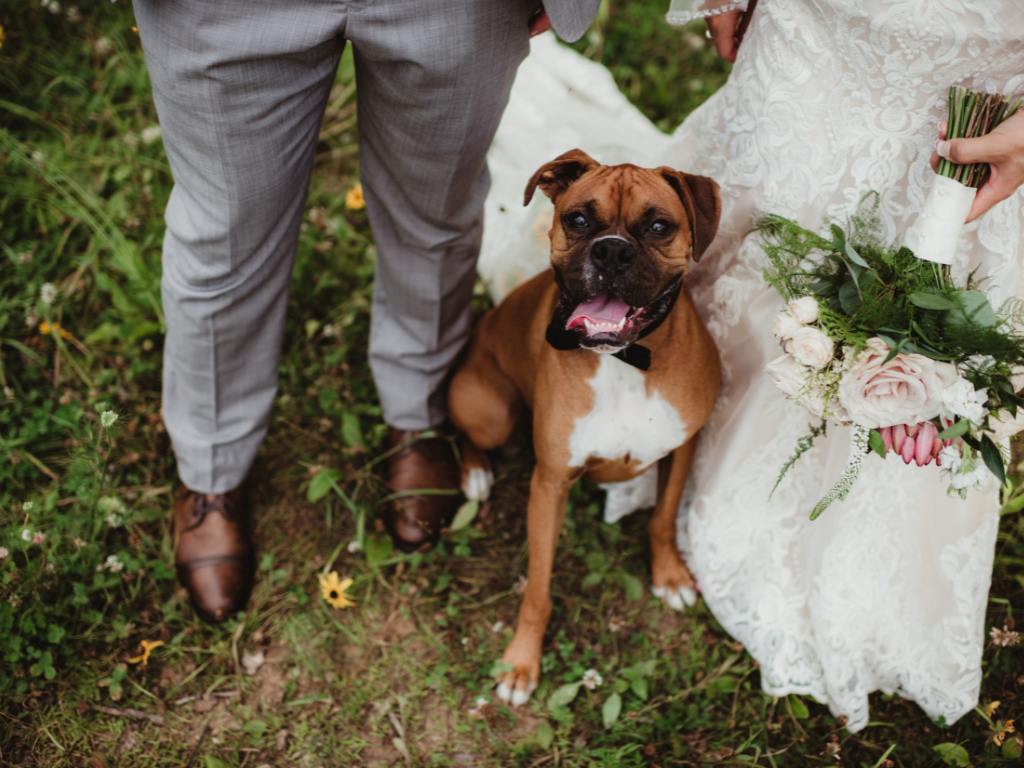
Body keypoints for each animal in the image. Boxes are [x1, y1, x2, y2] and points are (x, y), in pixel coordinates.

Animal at [448, 147, 720, 708]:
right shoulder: (550, 483)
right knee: (470, 434)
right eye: (577, 219)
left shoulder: (682, 447)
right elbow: (537, 587)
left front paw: (670, 575)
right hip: (489, 410)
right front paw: (521, 662)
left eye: (658, 226)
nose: (611, 251)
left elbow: (662, 518)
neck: (623, 361)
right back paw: (476, 474)